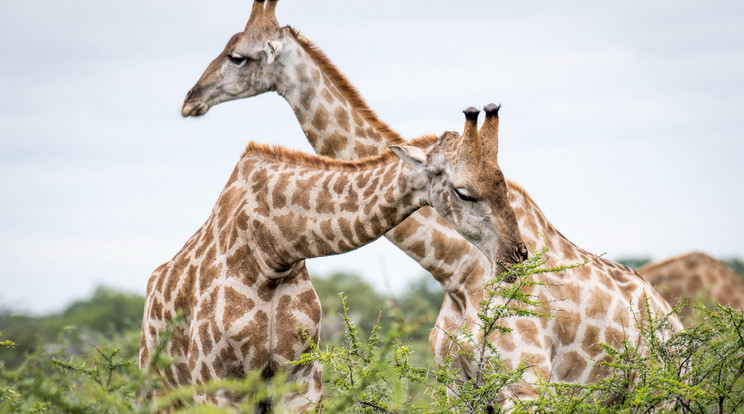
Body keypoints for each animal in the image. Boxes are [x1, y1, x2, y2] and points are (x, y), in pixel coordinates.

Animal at [180, 0, 680, 408]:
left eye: (237, 56)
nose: (191, 100)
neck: (456, 271)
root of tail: (674, 320)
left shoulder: (527, 383)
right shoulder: (457, 385)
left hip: (660, 393)